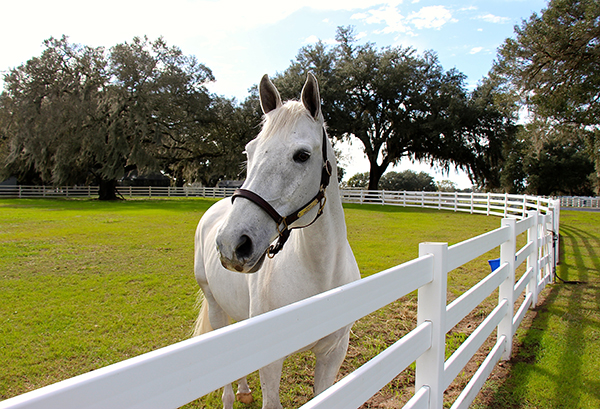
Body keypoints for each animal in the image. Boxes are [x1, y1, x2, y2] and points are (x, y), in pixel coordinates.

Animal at [195, 73, 358, 408]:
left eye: (302, 155)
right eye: (249, 151)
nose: (231, 244)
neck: (321, 275)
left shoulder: (333, 353)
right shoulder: (271, 363)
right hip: (215, 306)